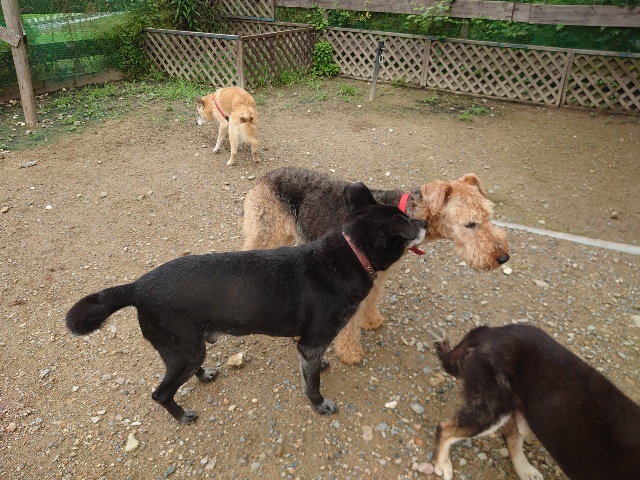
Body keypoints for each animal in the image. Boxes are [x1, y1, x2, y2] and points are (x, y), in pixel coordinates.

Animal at [66, 183, 426, 424]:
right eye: (409, 224)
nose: (425, 222)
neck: (350, 254)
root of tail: (137, 286)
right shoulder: (311, 343)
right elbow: (312, 383)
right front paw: (320, 404)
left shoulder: (310, 345)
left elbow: (314, 366)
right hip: (183, 348)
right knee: (161, 392)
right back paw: (182, 415)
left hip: (188, 347)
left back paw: (205, 375)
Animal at [241, 167, 509, 364]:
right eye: (470, 224)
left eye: (489, 215)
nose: (503, 257)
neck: (405, 214)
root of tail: (265, 176)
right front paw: (350, 353)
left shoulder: (376, 277)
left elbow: (372, 302)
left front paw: (372, 321)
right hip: (266, 230)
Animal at [432, 325, 640, 480]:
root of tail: (491, 331)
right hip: (490, 411)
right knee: (445, 429)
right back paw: (442, 465)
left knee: (510, 436)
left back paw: (525, 470)